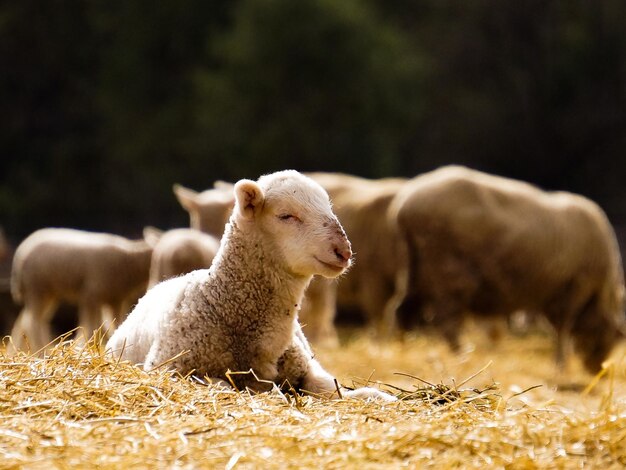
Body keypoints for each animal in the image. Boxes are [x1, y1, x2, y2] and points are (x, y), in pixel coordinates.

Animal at [9, 228, 152, 352]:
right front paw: (85, 346)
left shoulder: (115, 299)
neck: (129, 259)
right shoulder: (91, 294)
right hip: (37, 288)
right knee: (32, 322)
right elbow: (91, 325)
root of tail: (21, 252)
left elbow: (114, 323)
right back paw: (42, 350)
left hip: (47, 293)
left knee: (25, 320)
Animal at [105, 170, 392, 400]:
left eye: (329, 208)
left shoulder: (308, 371)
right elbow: (222, 384)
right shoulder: (171, 369)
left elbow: (342, 390)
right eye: (286, 216)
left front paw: (381, 396)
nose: (343, 251)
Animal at [390, 165, 624, 370]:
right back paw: (462, 356)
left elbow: (558, 328)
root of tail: (405, 206)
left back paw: (403, 351)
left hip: (413, 271)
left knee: (402, 311)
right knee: (446, 321)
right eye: (609, 336)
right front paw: (561, 365)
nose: (597, 369)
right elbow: (562, 328)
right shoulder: (575, 286)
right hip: (447, 273)